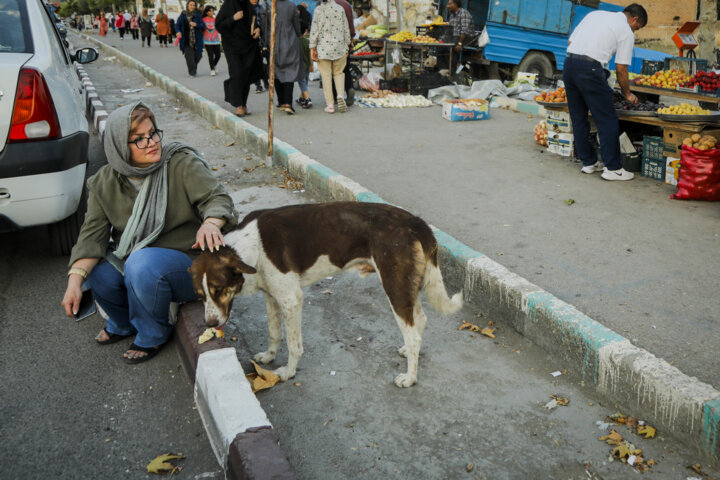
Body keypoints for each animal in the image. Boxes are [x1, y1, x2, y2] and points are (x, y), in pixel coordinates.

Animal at [188, 202, 464, 386]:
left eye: (219, 289)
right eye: (201, 296)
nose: (210, 324)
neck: (249, 247)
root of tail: (417, 223)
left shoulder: (291, 299)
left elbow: (294, 344)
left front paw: (288, 372)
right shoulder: (272, 296)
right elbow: (274, 331)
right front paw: (268, 356)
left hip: (394, 287)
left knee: (413, 333)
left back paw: (410, 377)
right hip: (405, 286)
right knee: (420, 320)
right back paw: (408, 352)